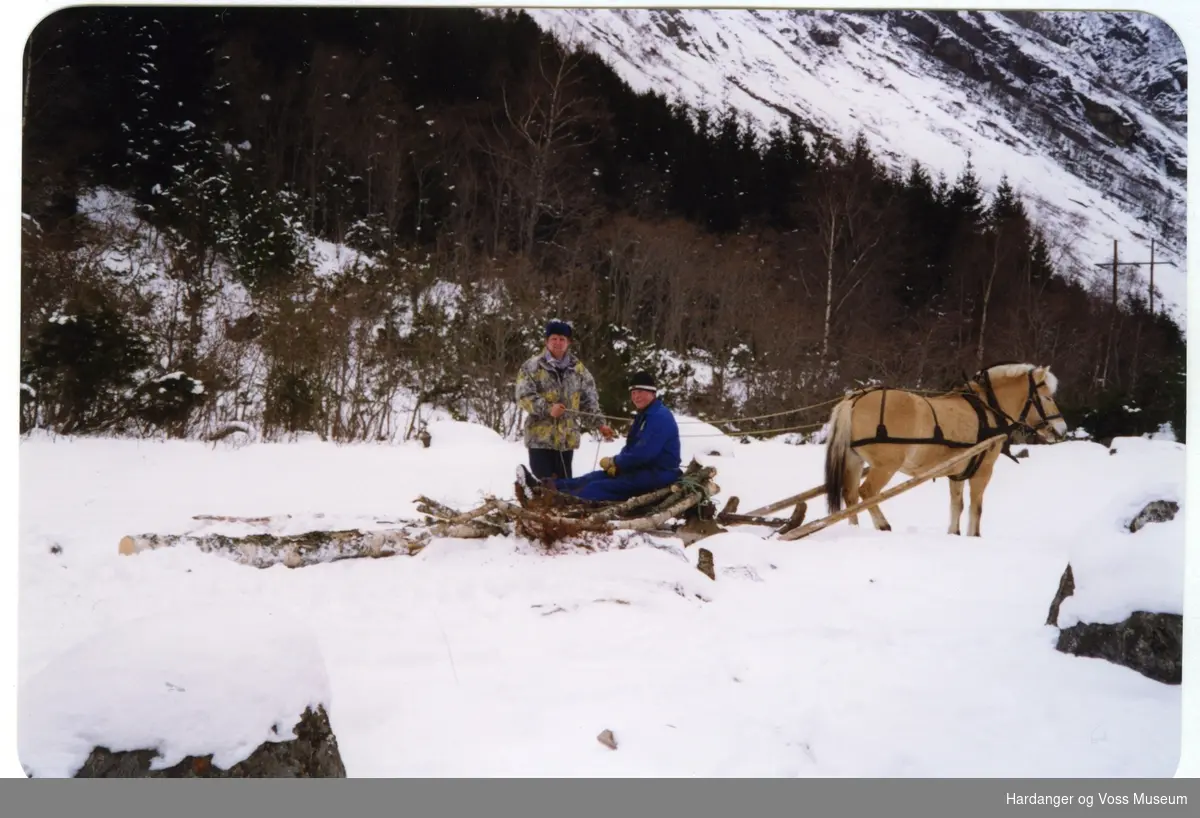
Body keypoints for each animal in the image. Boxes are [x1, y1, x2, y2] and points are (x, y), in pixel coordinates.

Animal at [825, 362, 1070, 534]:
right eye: (1048, 397)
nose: (1062, 429)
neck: (987, 411)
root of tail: (854, 399)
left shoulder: (958, 472)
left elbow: (957, 505)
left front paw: (954, 533)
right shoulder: (983, 471)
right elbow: (976, 508)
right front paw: (974, 536)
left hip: (855, 461)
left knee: (850, 496)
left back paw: (853, 529)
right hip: (885, 465)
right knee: (867, 493)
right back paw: (883, 525)